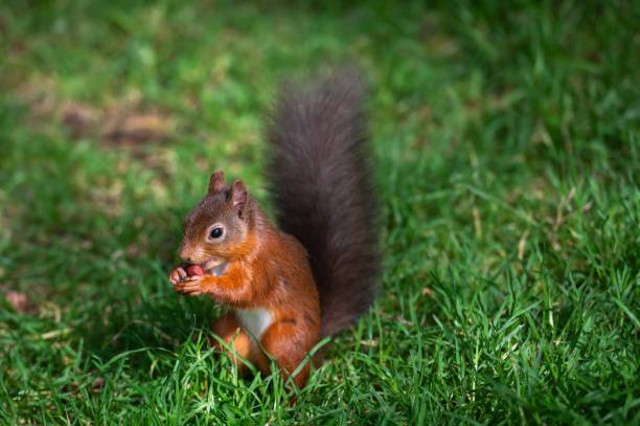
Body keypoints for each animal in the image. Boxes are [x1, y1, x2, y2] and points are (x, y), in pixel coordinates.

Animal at [169, 71, 380, 388]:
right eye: (187, 220)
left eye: (216, 232)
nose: (185, 255)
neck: (238, 252)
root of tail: (316, 345)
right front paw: (178, 274)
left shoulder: (265, 267)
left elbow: (243, 290)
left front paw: (203, 284)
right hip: (229, 331)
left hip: (284, 339)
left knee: (289, 374)